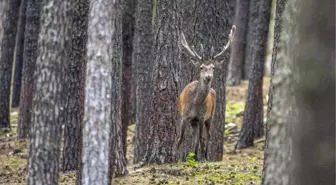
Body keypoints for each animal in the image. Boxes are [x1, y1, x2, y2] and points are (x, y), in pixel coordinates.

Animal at [176, 25, 236, 161]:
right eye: (201, 67)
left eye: (213, 67)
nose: (208, 77)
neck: (195, 104)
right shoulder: (184, 116)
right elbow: (181, 138)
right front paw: (176, 156)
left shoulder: (202, 117)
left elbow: (201, 138)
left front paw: (201, 157)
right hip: (194, 122)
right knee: (195, 137)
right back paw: (193, 156)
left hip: (210, 116)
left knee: (207, 135)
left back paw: (204, 155)